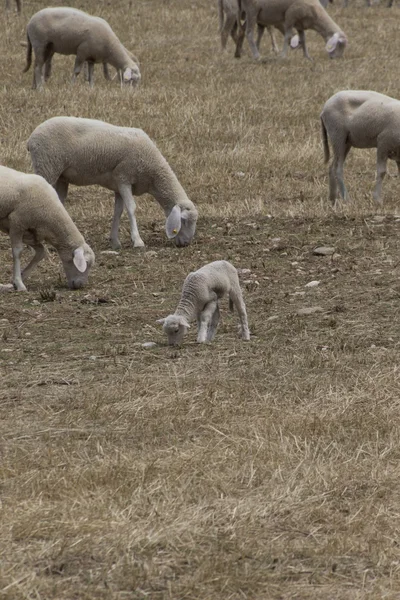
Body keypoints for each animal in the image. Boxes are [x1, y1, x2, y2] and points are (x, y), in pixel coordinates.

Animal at [26, 116, 198, 250]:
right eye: (183, 221)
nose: (186, 244)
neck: (153, 173)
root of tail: (31, 138)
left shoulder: (118, 186)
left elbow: (118, 211)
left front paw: (115, 242)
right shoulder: (124, 178)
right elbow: (131, 208)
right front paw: (137, 241)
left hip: (61, 176)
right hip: (47, 167)